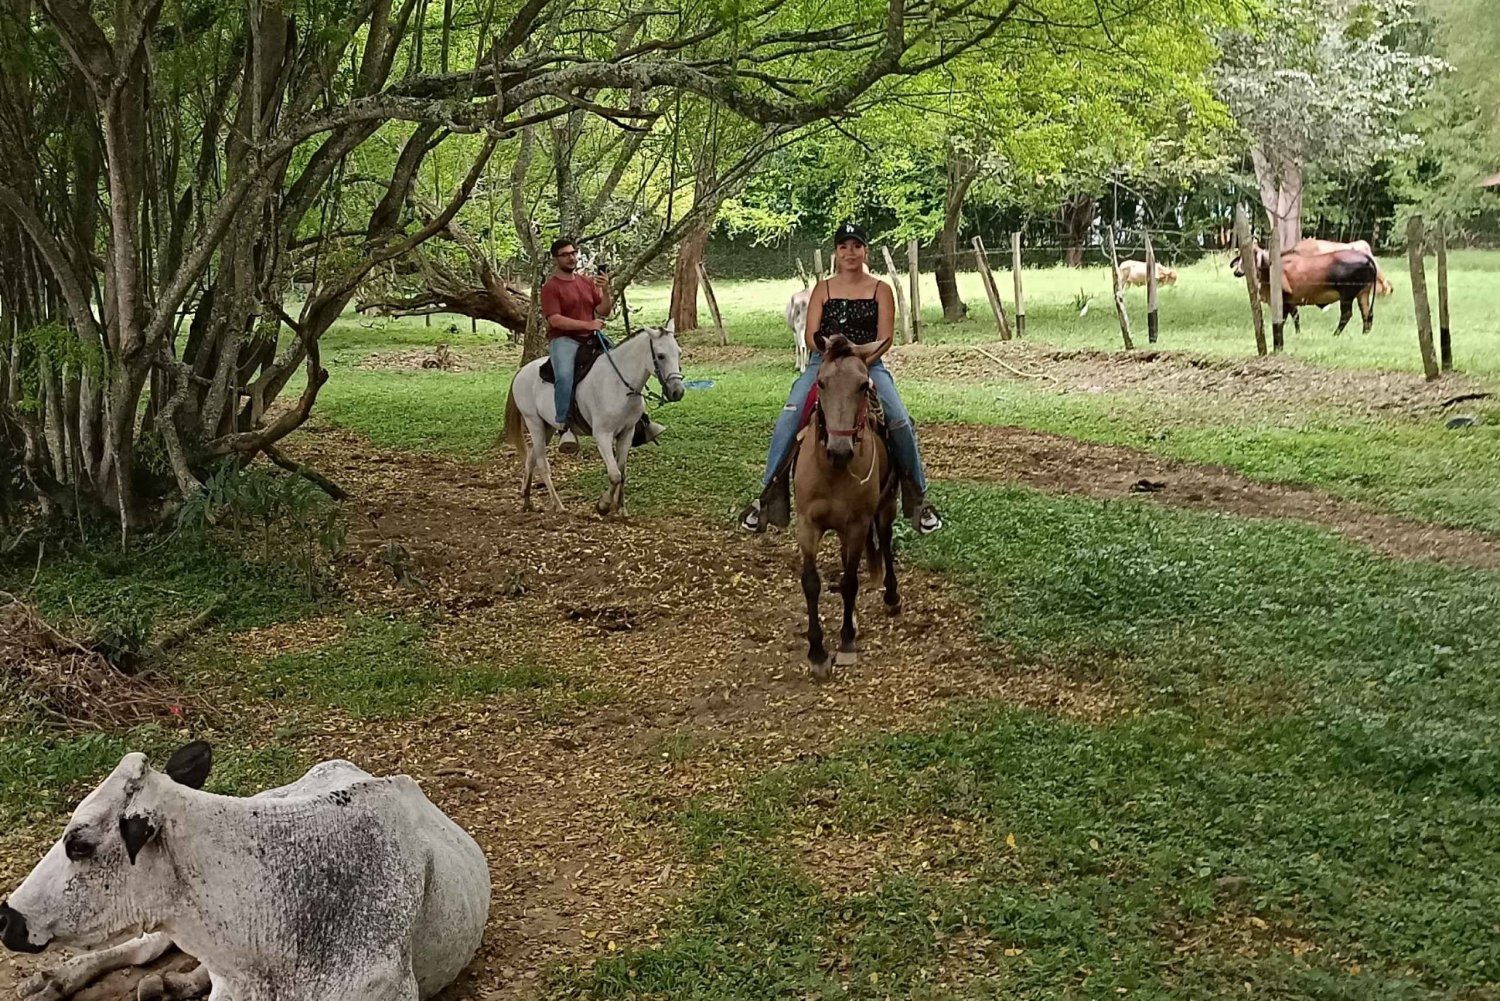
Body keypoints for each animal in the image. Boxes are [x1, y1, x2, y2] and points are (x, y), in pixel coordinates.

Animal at [507, 325, 687, 516]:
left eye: (679, 352)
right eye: (660, 355)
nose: (677, 392)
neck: (617, 384)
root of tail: (521, 372)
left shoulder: (627, 433)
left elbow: (622, 473)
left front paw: (621, 510)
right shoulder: (603, 435)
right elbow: (615, 475)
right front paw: (603, 505)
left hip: (547, 427)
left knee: (531, 457)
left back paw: (527, 500)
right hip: (534, 423)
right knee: (542, 463)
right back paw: (558, 505)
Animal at [792, 336, 894, 681]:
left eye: (863, 385)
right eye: (821, 383)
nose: (840, 450)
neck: (832, 470)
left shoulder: (858, 524)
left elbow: (850, 581)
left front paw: (846, 643)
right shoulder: (807, 524)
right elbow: (811, 583)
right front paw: (817, 652)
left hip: (886, 507)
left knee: (886, 542)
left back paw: (892, 597)